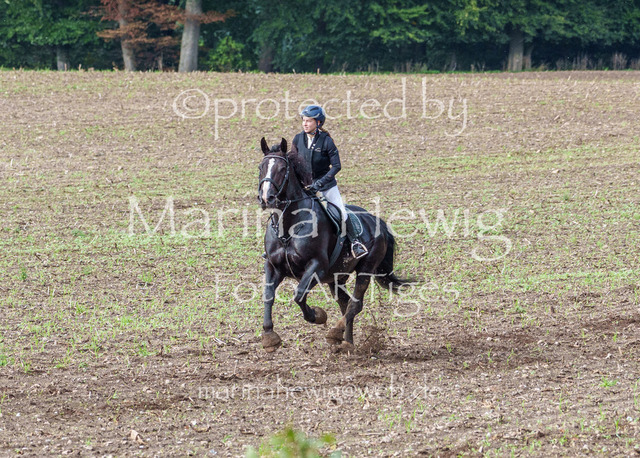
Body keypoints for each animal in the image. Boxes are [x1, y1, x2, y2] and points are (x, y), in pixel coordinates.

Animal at [257, 137, 413, 353]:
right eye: (261, 167)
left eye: (282, 168)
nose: (266, 198)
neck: (288, 227)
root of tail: (377, 221)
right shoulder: (273, 266)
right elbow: (268, 295)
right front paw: (269, 336)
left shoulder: (317, 267)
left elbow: (299, 295)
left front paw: (317, 315)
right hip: (336, 277)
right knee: (346, 303)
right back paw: (346, 341)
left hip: (365, 269)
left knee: (355, 305)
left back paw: (335, 332)